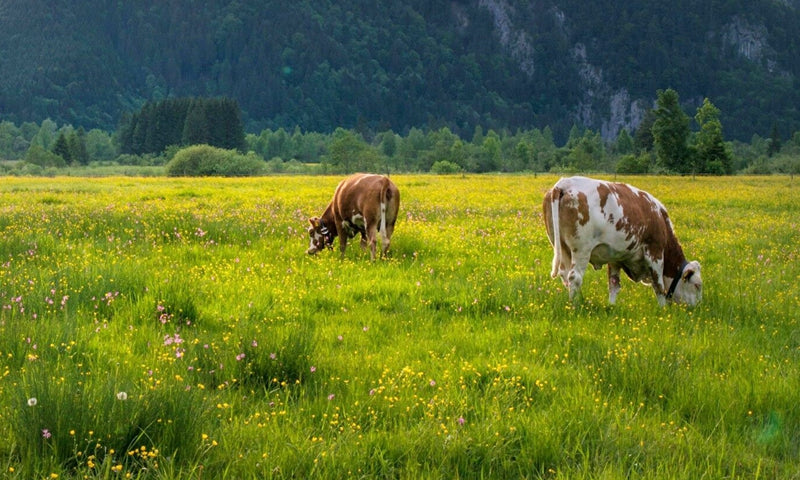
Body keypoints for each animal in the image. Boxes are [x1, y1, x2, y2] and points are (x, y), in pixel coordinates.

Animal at [540, 177, 704, 308]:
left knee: (565, 275)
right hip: (581, 250)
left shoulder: (615, 258)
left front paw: (611, 306)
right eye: (697, 285)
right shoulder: (655, 252)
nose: (697, 308)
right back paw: (576, 305)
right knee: (574, 277)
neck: (659, 217)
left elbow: (614, 285)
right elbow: (659, 285)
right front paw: (663, 309)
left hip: (562, 247)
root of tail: (565, 183)